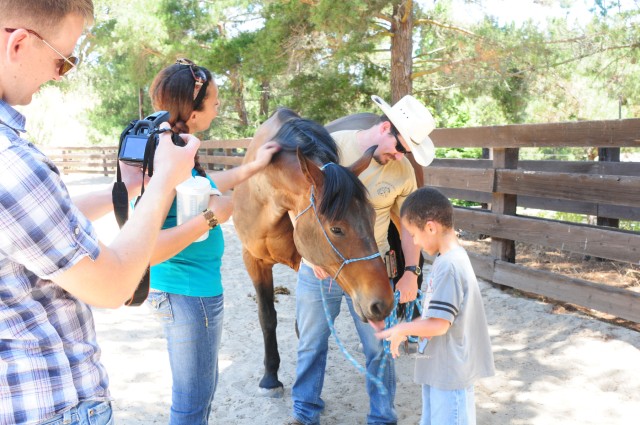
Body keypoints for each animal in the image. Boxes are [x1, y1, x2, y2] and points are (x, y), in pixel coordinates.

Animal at [234, 107, 396, 396]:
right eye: (336, 229)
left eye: (371, 216)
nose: (382, 304)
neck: (264, 196)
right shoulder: (253, 260)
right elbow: (267, 317)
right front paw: (270, 377)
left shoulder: (305, 263)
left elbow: (304, 326)